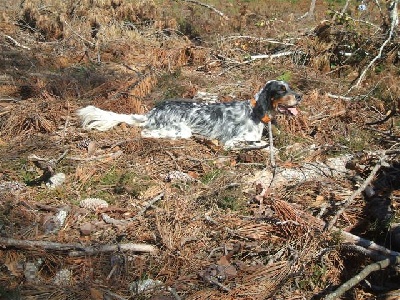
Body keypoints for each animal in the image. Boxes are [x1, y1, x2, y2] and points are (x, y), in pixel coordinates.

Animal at [77, 80, 300, 149]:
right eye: (281, 89)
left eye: (289, 87)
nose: (300, 95)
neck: (255, 112)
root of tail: (152, 112)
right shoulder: (231, 141)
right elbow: (258, 143)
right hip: (181, 130)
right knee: (146, 133)